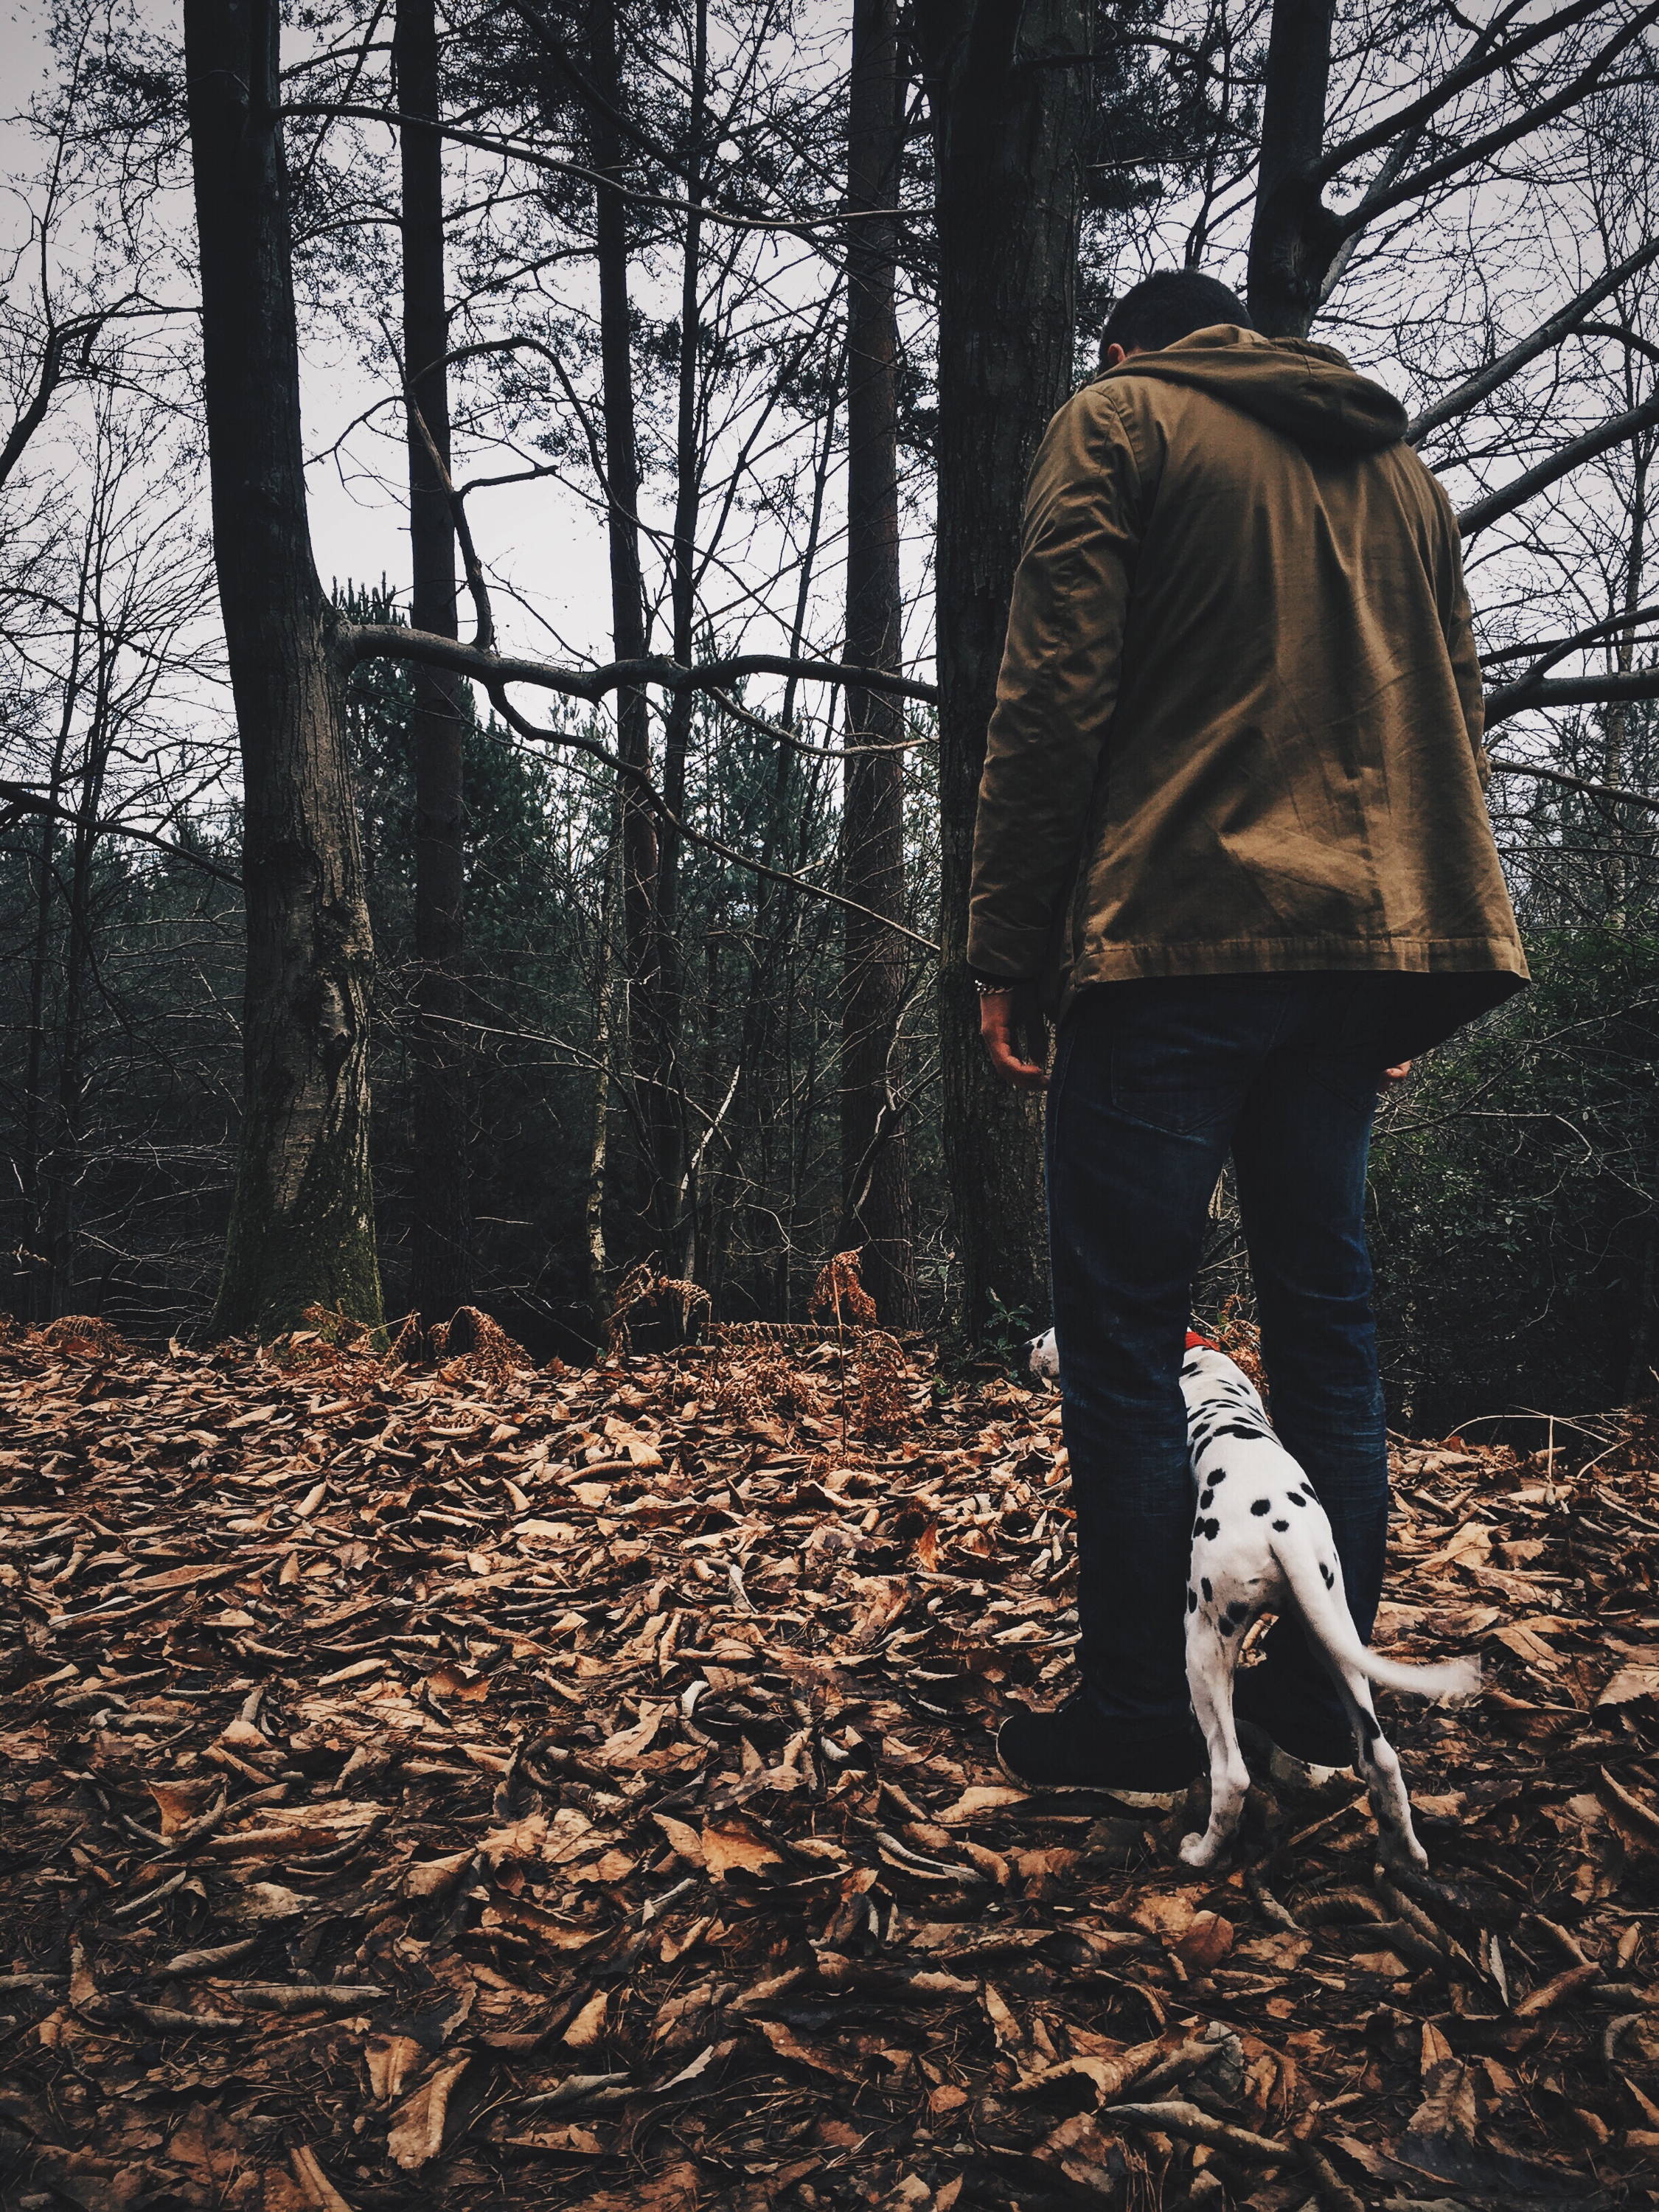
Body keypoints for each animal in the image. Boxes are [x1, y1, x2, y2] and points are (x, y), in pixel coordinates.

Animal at [1026, 1327, 1478, 1867]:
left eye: (1051, 1335)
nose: (1028, 1347)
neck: (1195, 1358)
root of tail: (1281, 1528)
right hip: (1336, 1642)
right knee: (1381, 1760)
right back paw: (1403, 1855)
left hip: (1203, 1650)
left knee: (1233, 1776)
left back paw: (1201, 1853)